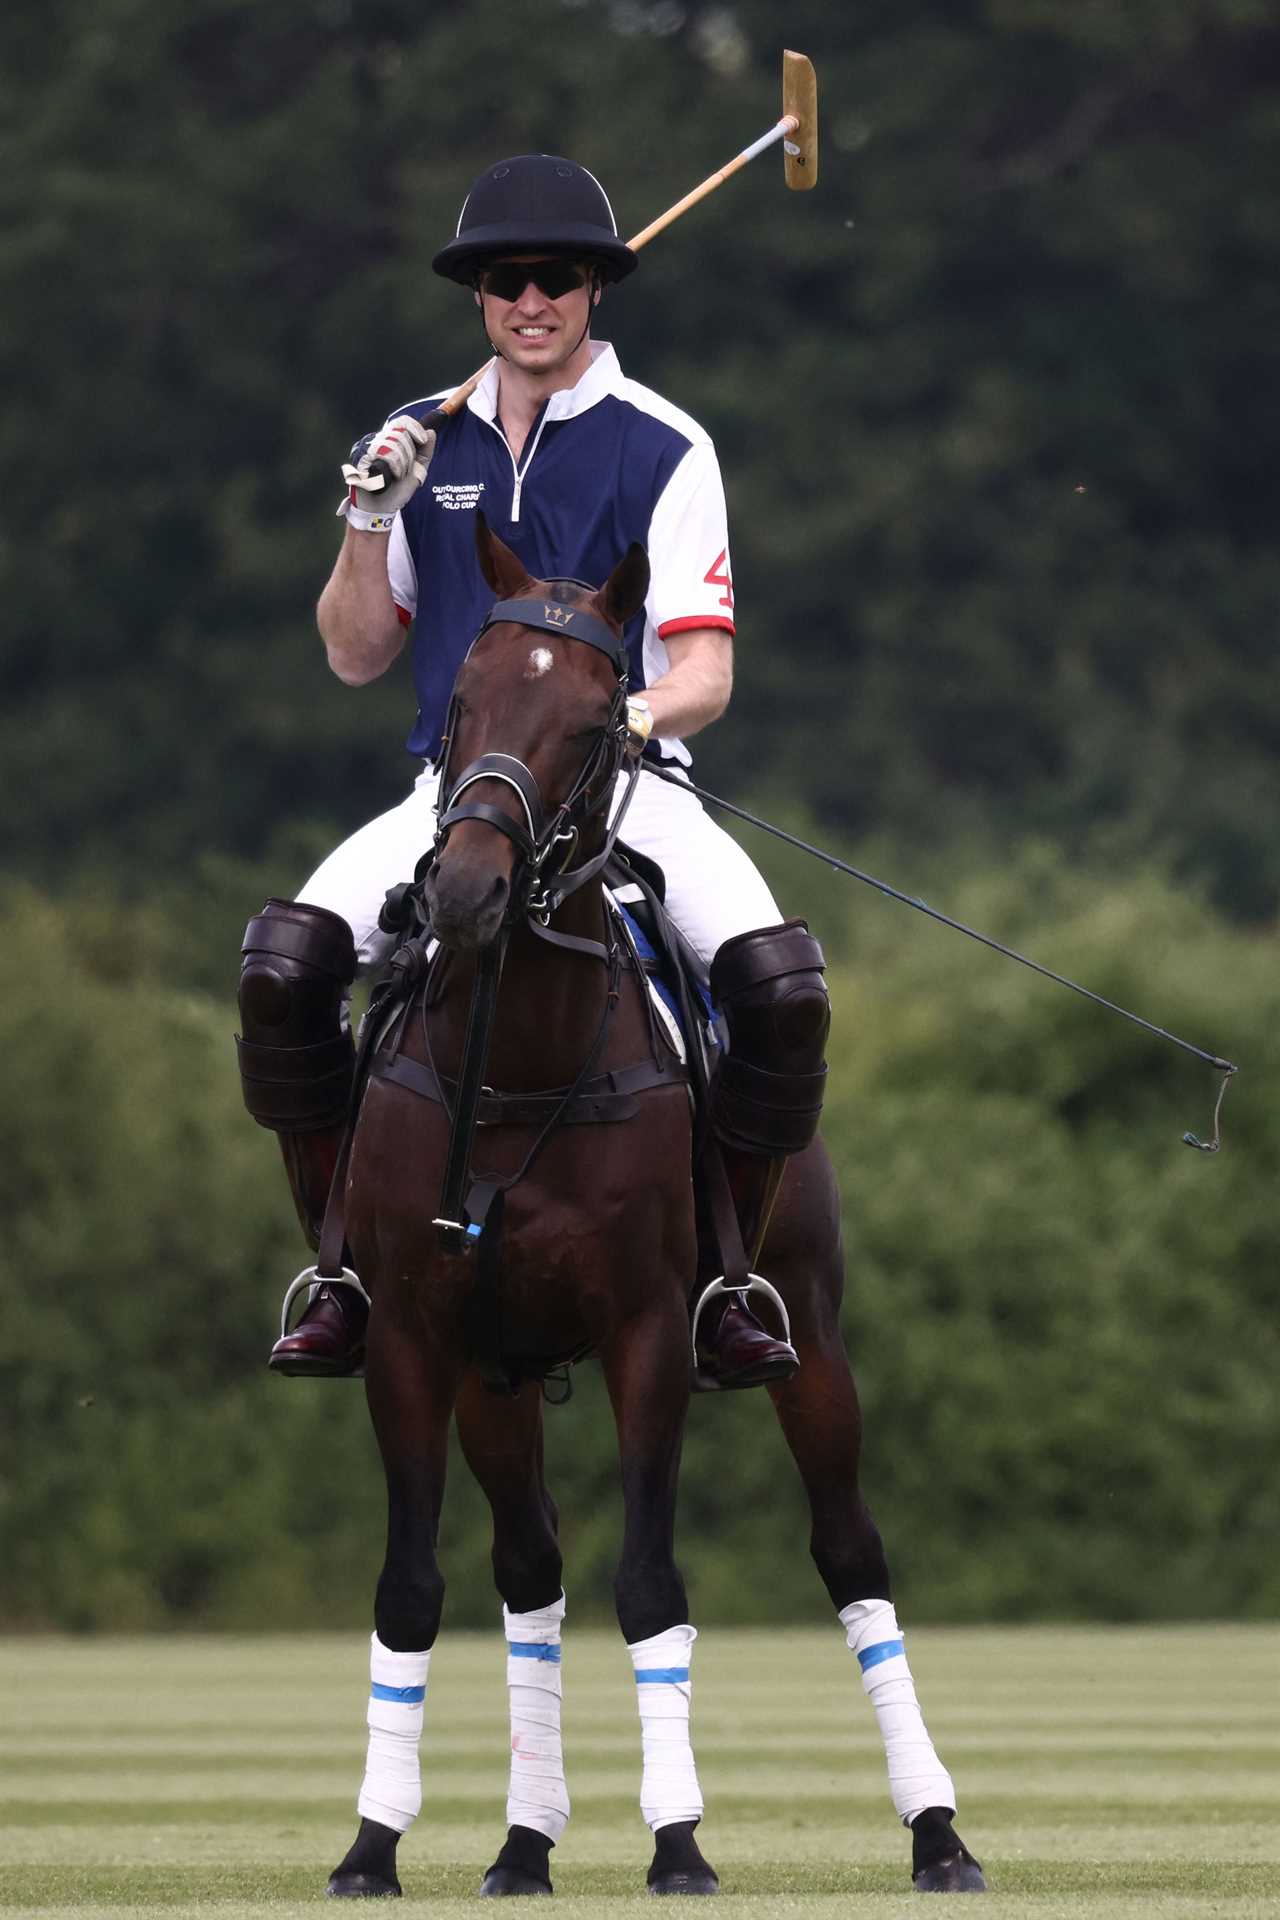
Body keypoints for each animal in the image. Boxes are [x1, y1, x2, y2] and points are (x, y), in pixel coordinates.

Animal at [326, 514, 990, 1904]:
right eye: (460, 699)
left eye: (595, 720)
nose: (462, 892)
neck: (520, 1065)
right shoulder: (415, 1338)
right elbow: (413, 1587)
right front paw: (370, 1846)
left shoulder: (644, 1334)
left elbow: (649, 1584)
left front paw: (678, 1844)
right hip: (497, 1374)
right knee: (528, 1569)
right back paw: (522, 1844)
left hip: (809, 1336)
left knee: (851, 1553)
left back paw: (938, 1833)